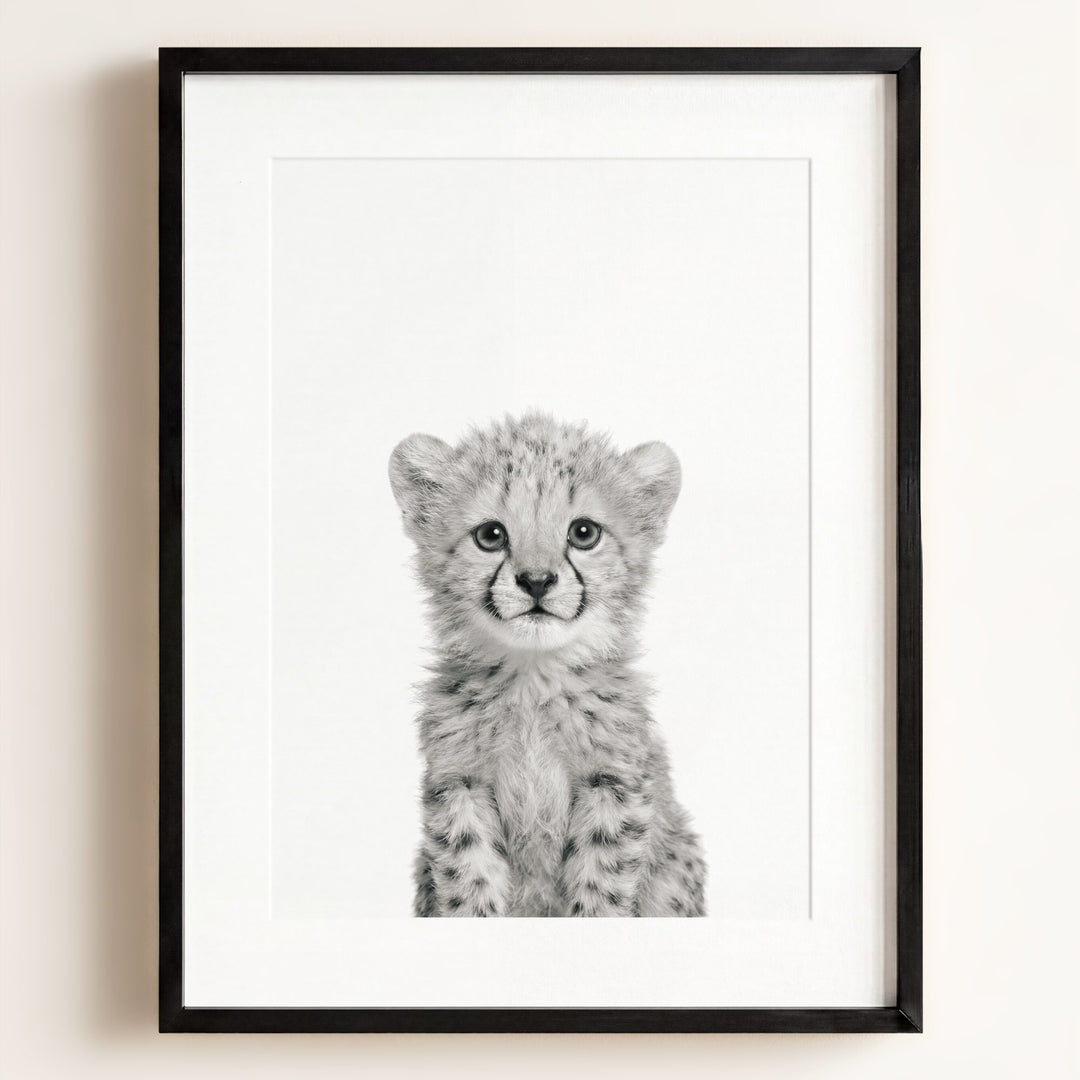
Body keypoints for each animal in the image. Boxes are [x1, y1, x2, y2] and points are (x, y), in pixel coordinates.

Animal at [389, 412, 706, 916]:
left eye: (584, 533)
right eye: (490, 535)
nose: (536, 581)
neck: (532, 681)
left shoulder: (613, 784)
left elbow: (601, 886)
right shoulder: (460, 784)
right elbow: (469, 879)